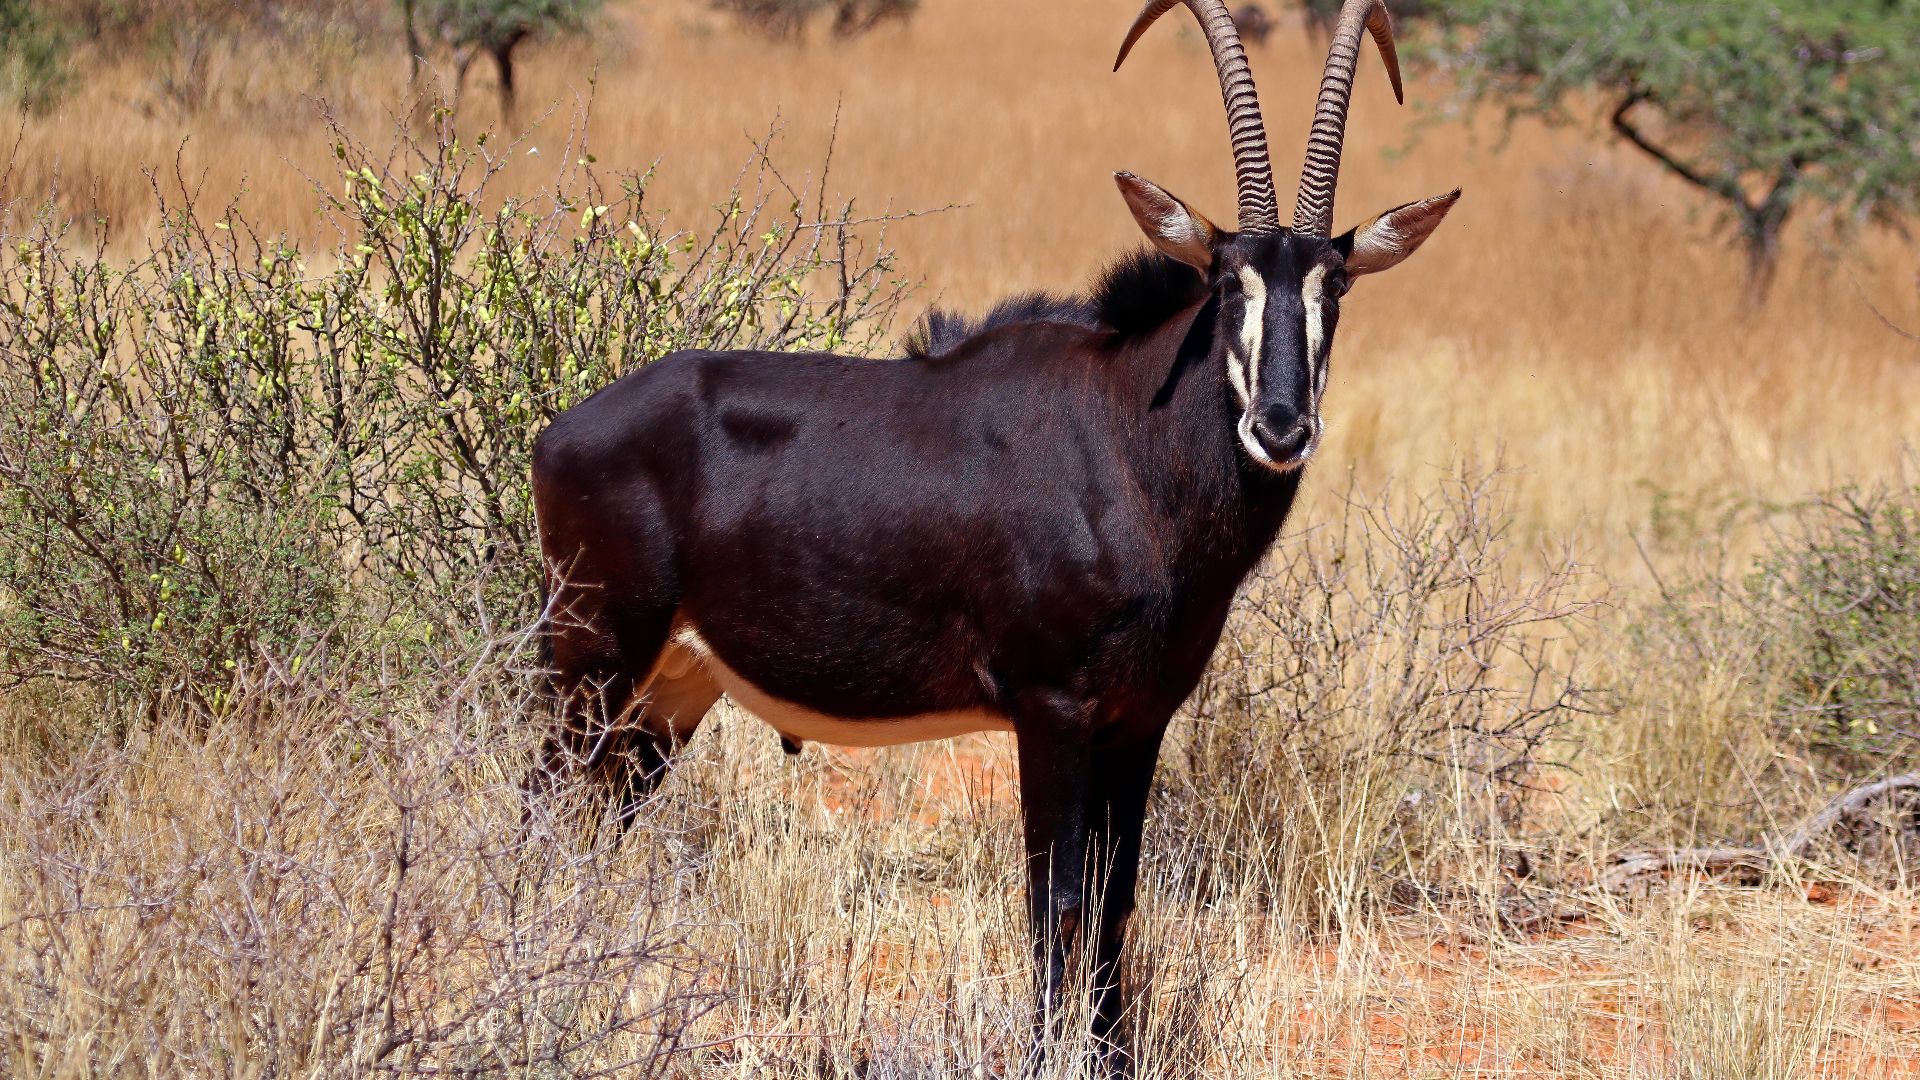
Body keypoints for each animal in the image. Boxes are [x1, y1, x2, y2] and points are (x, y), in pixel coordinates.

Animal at [530, 0, 1457, 1062]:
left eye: (1333, 288)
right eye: (1228, 283)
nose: (1280, 427)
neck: (1126, 438)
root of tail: (560, 433)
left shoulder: (1138, 721)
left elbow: (1115, 898)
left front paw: (1110, 1055)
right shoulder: (1052, 709)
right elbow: (1054, 901)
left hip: (667, 693)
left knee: (595, 826)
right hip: (593, 661)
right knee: (546, 814)